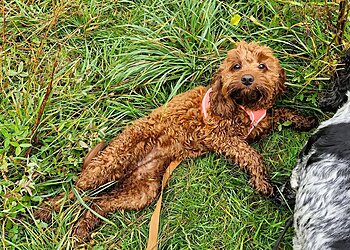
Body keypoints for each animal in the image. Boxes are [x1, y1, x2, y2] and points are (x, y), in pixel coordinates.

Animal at [34, 41, 316, 240]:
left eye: (262, 66)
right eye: (236, 66)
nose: (247, 79)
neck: (243, 106)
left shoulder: (259, 124)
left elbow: (279, 113)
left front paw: (304, 119)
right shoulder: (219, 136)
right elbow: (251, 155)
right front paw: (263, 183)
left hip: (142, 190)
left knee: (99, 202)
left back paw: (83, 229)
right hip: (112, 162)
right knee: (77, 189)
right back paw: (46, 210)